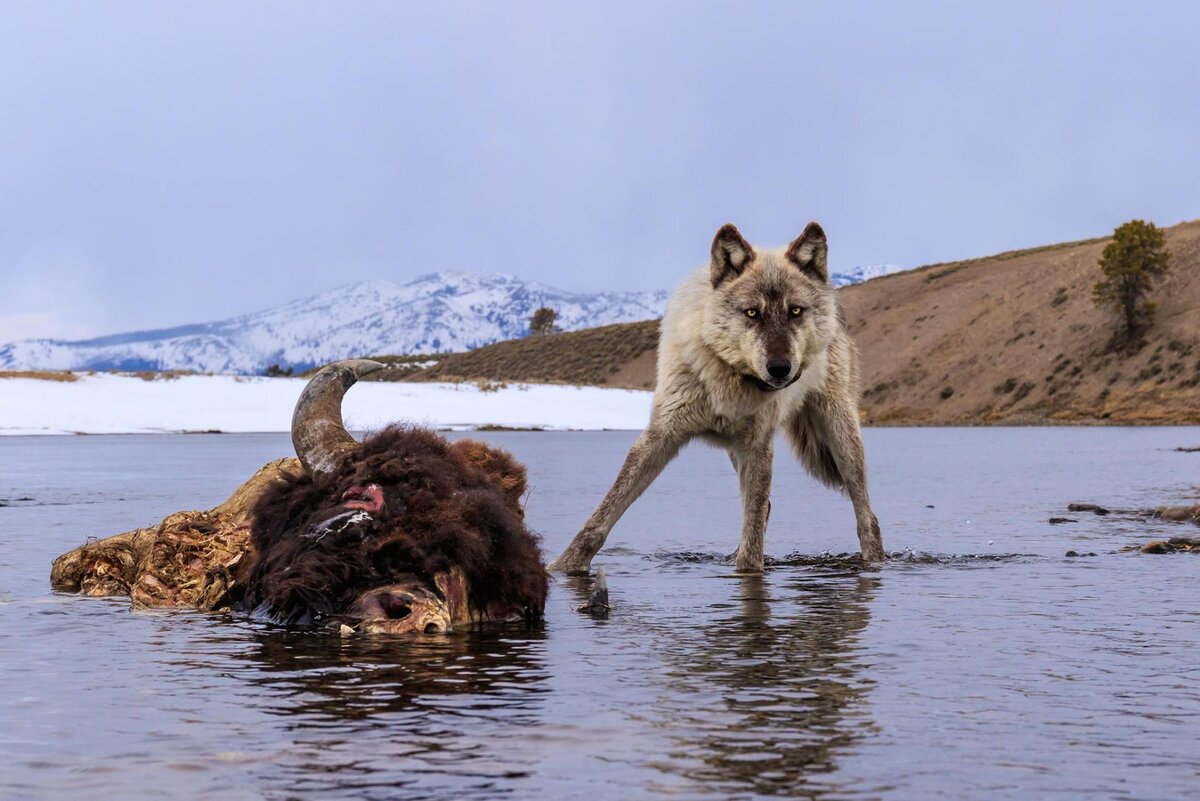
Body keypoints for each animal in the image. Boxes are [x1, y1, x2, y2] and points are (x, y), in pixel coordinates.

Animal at [549, 219, 883, 573]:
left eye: (795, 311)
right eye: (752, 313)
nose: (780, 368)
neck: (728, 380)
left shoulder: (758, 447)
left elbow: (752, 540)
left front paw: (749, 569)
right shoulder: (661, 436)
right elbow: (604, 513)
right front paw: (564, 565)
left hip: (841, 437)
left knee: (866, 515)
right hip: (740, 453)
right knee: (764, 509)